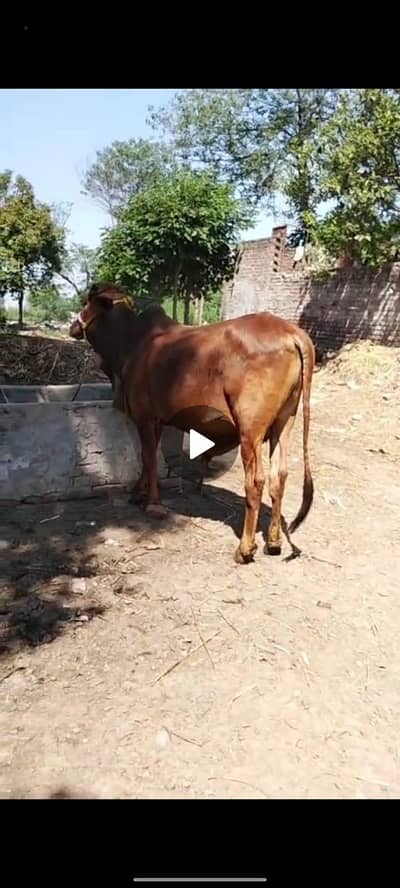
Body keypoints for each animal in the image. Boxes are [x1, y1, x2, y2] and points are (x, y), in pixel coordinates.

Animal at [69, 284, 315, 564]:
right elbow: (149, 458)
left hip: (250, 428)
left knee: (256, 481)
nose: (73, 326)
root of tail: (291, 332)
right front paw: (138, 492)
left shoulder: (145, 416)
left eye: (86, 301)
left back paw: (244, 549)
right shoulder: (157, 420)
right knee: (279, 477)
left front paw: (153, 504)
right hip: (285, 422)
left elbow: (149, 458)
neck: (131, 343)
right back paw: (273, 542)